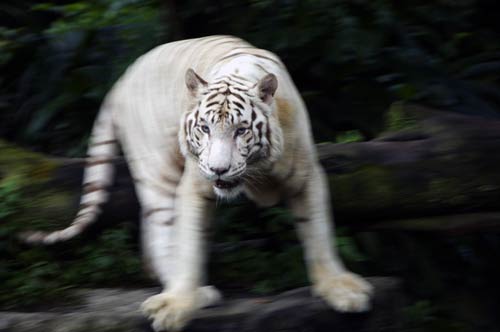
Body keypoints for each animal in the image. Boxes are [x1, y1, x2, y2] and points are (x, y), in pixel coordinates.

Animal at [24, 35, 376, 330]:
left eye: (241, 130)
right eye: (205, 128)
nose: (219, 170)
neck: (257, 171)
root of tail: (122, 79)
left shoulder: (306, 175)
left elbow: (319, 234)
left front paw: (342, 290)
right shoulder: (193, 185)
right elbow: (188, 245)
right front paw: (178, 305)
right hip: (159, 171)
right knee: (163, 233)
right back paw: (194, 292)